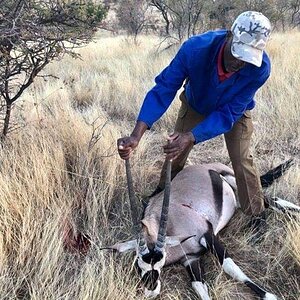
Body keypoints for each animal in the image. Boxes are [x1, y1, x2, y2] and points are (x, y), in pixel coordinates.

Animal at [105, 158, 298, 298]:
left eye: (160, 262)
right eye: (139, 265)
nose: (151, 291)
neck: (169, 225)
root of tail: (207, 166)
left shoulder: (209, 235)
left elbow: (230, 267)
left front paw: (270, 296)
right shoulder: (190, 260)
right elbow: (199, 287)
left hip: (235, 184)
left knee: (269, 201)